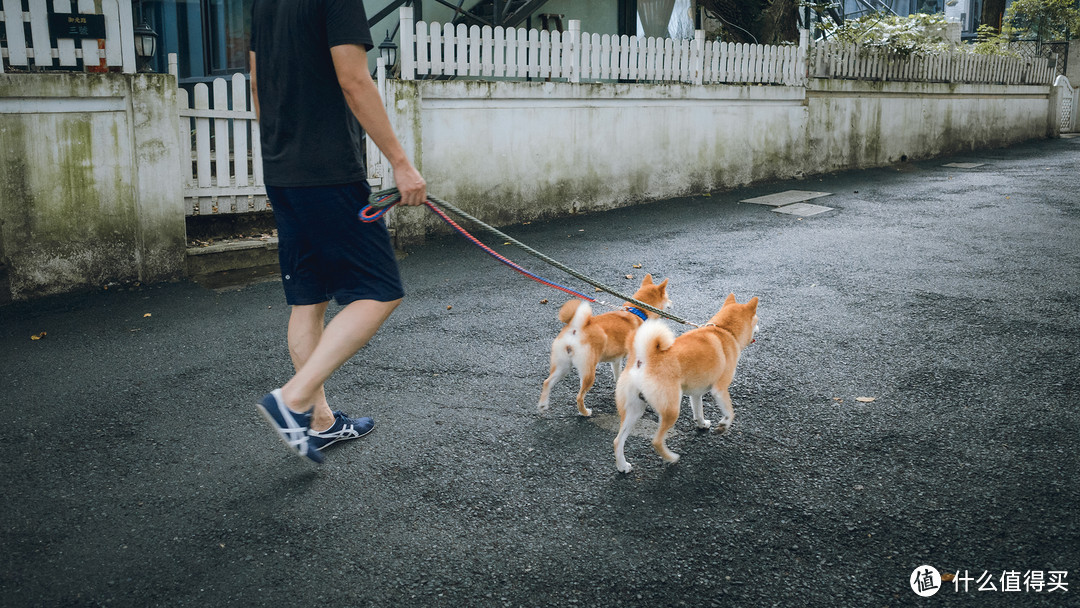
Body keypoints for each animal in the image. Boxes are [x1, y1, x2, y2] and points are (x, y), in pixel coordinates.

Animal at [535, 276, 669, 419]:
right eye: (667, 297)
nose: (671, 303)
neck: (637, 311)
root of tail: (576, 328)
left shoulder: (616, 360)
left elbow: (617, 376)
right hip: (589, 373)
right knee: (579, 397)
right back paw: (584, 412)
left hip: (563, 366)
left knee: (547, 382)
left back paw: (543, 405)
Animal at [617, 291, 760, 473]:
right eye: (757, 320)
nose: (759, 328)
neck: (724, 330)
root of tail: (645, 359)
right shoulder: (720, 389)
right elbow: (730, 412)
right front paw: (723, 426)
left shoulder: (696, 393)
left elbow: (698, 412)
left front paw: (702, 424)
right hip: (671, 409)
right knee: (656, 441)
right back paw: (672, 458)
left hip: (635, 409)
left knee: (618, 440)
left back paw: (622, 466)